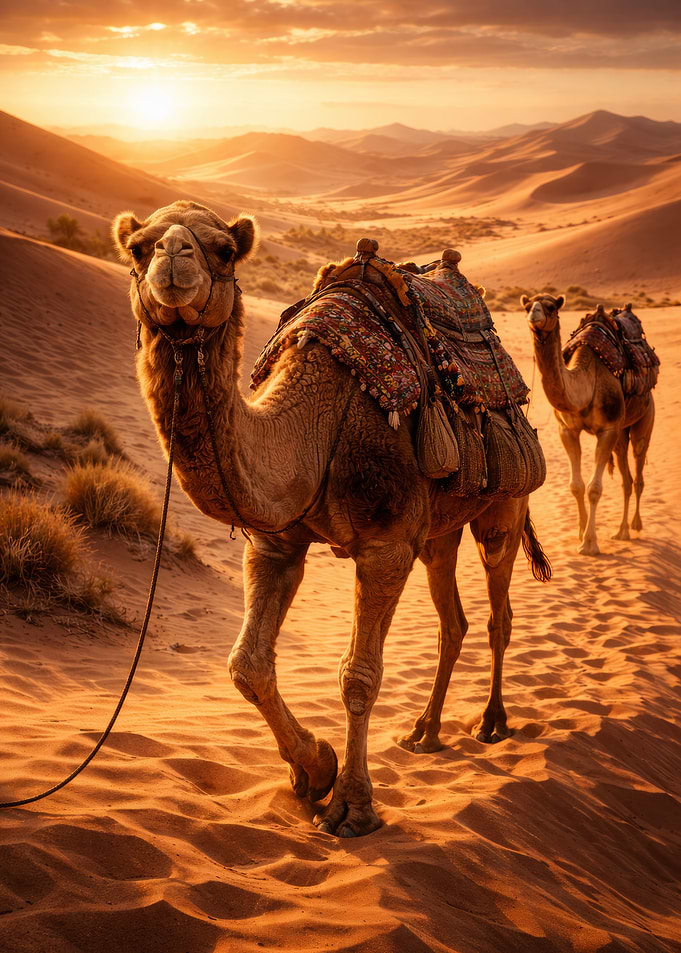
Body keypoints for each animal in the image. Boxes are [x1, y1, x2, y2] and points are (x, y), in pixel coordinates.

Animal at [114, 200, 549, 838]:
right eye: (138, 246)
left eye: (225, 250)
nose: (173, 257)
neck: (314, 422)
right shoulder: (275, 540)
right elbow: (246, 665)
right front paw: (314, 768)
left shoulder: (385, 544)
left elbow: (359, 675)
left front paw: (352, 805)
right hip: (438, 532)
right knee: (454, 620)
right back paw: (425, 733)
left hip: (504, 508)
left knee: (500, 611)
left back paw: (490, 722)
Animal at [521, 293, 655, 556]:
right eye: (528, 305)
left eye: (550, 307)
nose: (534, 316)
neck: (587, 382)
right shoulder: (567, 430)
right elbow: (577, 485)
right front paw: (580, 532)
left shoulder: (608, 430)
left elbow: (594, 488)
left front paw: (589, 544)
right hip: (621, 435)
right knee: (626, 479)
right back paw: (621, 531)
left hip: (643, 421)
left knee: (639, 471)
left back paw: (635, 526)